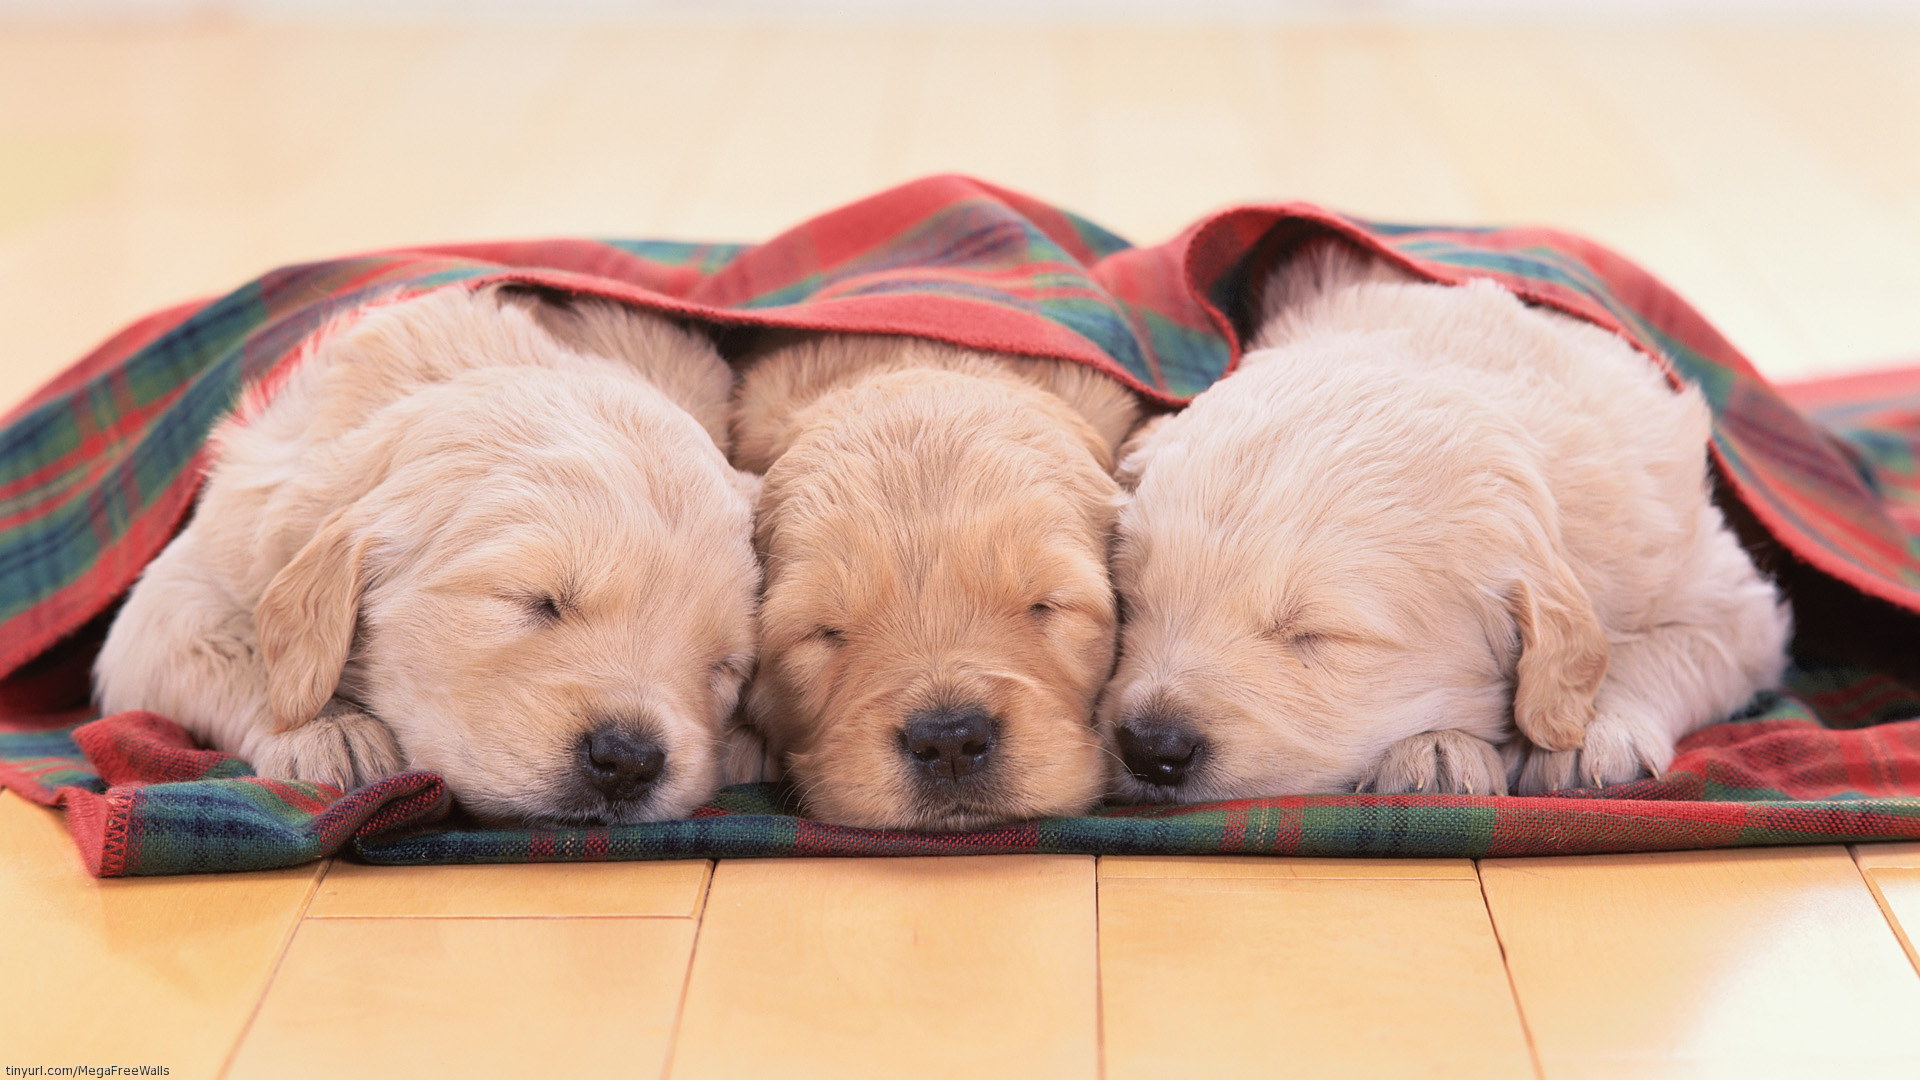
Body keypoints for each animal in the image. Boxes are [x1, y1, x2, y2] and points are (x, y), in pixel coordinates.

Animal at [91, 282, 756, 818]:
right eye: (535, 602)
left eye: (724, 666)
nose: (629, 760)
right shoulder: (167, 602)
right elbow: (242, 650)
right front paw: (332, 731)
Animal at [1105, 244, 1789, 799]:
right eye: (1131, 602)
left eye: (1316, 635)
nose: (1149, 748)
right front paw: (1437, 748)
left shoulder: (1731, 602)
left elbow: (1666, 647)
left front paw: (1592, 733)